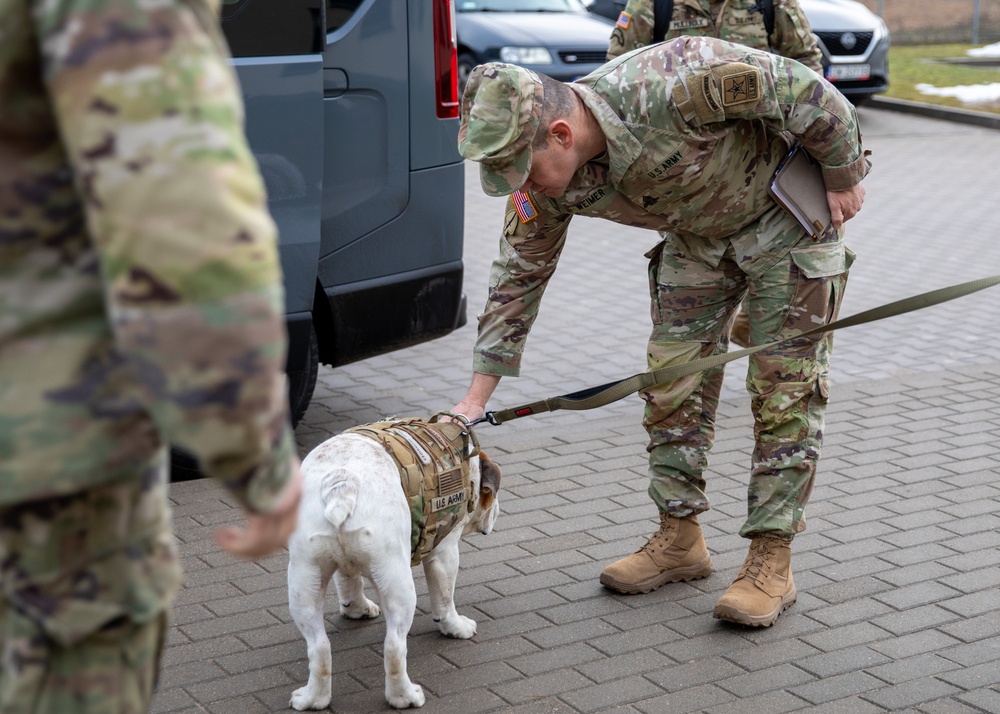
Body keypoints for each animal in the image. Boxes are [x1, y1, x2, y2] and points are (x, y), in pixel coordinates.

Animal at [286, 414, 500, 708]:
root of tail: (341, 481)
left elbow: (348, 581)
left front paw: (356, 609)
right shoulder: (444, 552)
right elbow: (445, 598)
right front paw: (455, 627)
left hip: (303, 581)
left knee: (318, 646)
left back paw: (312, 699)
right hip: (397, 582)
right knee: (394, 646)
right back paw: (404, 696)